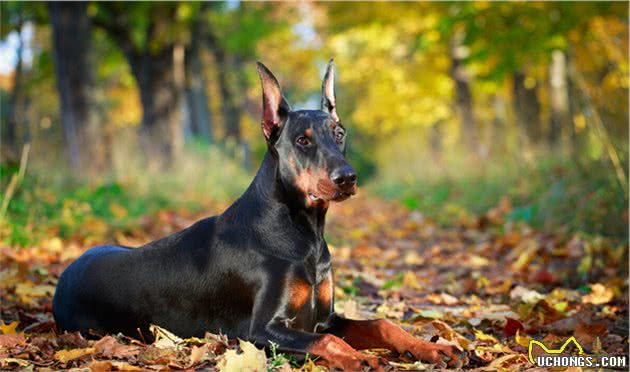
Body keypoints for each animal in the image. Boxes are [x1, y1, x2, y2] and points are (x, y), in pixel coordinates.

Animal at [54, 61, 466, 370]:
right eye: (302, 140)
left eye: (340, 133)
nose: (347, 177)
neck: (304, 234)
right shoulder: (260, 331)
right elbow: (326, 341)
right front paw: (357, 358)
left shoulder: (325, 316)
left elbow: (382, 324)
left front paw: (434, 347)